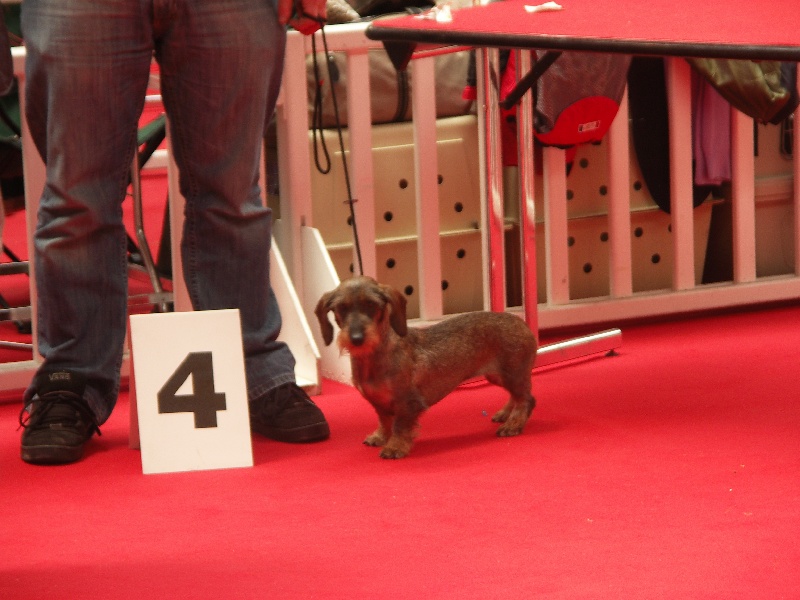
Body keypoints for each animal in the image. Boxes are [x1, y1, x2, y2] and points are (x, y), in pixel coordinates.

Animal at [314, 276, 536, 460]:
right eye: (341, 307)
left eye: (371, 304)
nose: (357, 338)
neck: (375, 357)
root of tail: (522, 323)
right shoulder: (379, 403)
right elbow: (384, 421)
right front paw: (380, 437)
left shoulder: (408, 403)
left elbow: (399, 426)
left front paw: (395, 447)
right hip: (498, 376)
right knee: (518, 396)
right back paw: (506, 414)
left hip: (511, 374)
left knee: (526, 399)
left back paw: (514, 424)